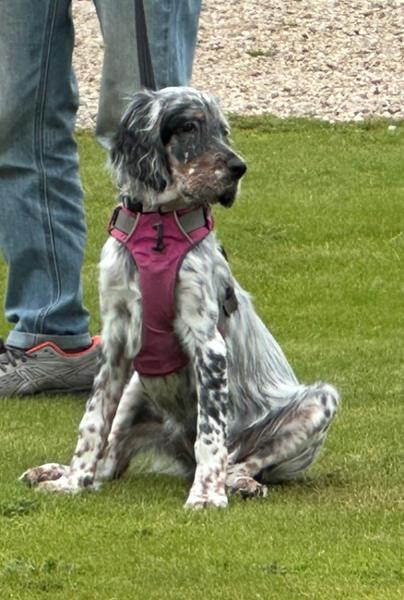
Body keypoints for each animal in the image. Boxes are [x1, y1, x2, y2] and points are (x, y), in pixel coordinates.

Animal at [21, 86, 338, 508]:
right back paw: (56, 471)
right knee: (109, 462)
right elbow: (92, 421)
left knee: (243, 458)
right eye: (189, 126)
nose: (239, 168)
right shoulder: (116, 340)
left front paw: (206, 496)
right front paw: (71, 482)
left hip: (319, 401)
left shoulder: (209, 344)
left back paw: (238, 482)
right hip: (136, 389)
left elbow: (211, 433)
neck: (158, 228)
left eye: (223, 130)